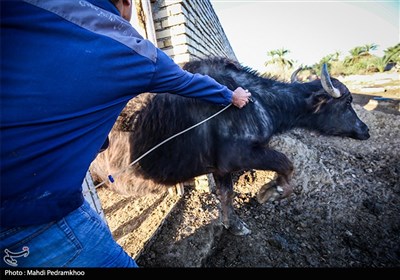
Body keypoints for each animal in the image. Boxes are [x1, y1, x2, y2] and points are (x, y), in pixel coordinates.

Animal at [90, 58, 368, 235]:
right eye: (347, 102)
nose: (365, 129)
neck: (259, 102)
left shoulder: (220, 168)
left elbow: (226, 194)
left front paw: (232, 225)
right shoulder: (240, 156)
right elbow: (286, 163)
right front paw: (271, 191)